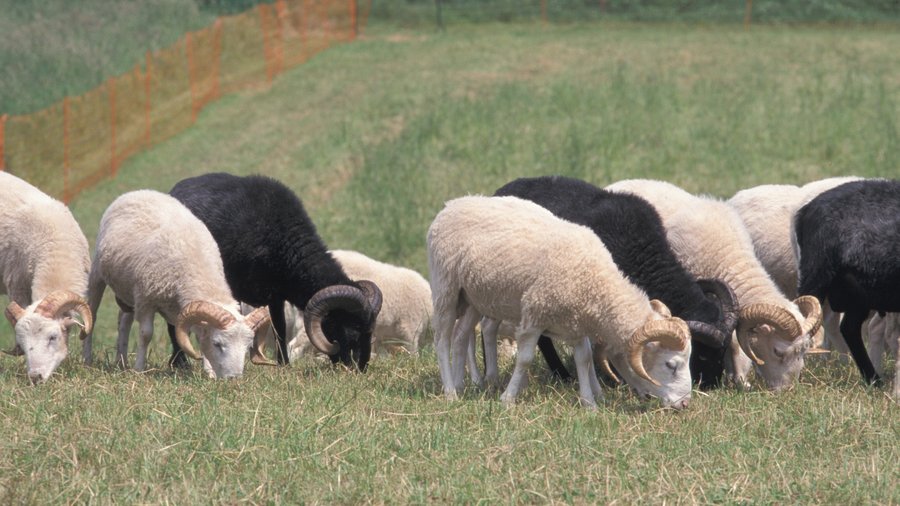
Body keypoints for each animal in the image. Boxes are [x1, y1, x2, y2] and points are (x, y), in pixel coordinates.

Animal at [85, 190, 271, 378]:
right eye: (218, 344)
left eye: (247, 346)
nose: (234, 378)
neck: (196, 268)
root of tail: (139, 192)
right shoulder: (146, 299)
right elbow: (146, 335)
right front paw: (139, 369)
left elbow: (198, 336)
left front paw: (209, 373)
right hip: (98, 274)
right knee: (93, 314)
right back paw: (87, 360)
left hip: (127, 290)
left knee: (123, 320)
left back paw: (121, 362)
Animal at [169, 173, 382, 370]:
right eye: (351, 328)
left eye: (371, 330)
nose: (359, 368)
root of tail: (176, 188)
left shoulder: (276, 295)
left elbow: (279, 328)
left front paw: (284, 365)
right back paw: (180, 363)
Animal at [427, 195, 693, 409]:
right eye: (671, 365)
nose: (685, 404)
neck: (596, 280)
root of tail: (451, 205)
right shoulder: (534, 313)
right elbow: (525, 359)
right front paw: (508, 399)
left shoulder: (576, 322)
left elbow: (584, 359)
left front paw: (589, 403)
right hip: (445, 288)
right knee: (442, 341)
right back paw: (450, 392)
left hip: (474, 297)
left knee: (461, 336)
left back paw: (462, 385)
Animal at [492, 175, 738, 389]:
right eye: (701, 351)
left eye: (725, 349)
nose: (711, 385)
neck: (639, 250)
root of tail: (500, 190)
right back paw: (562, 375)